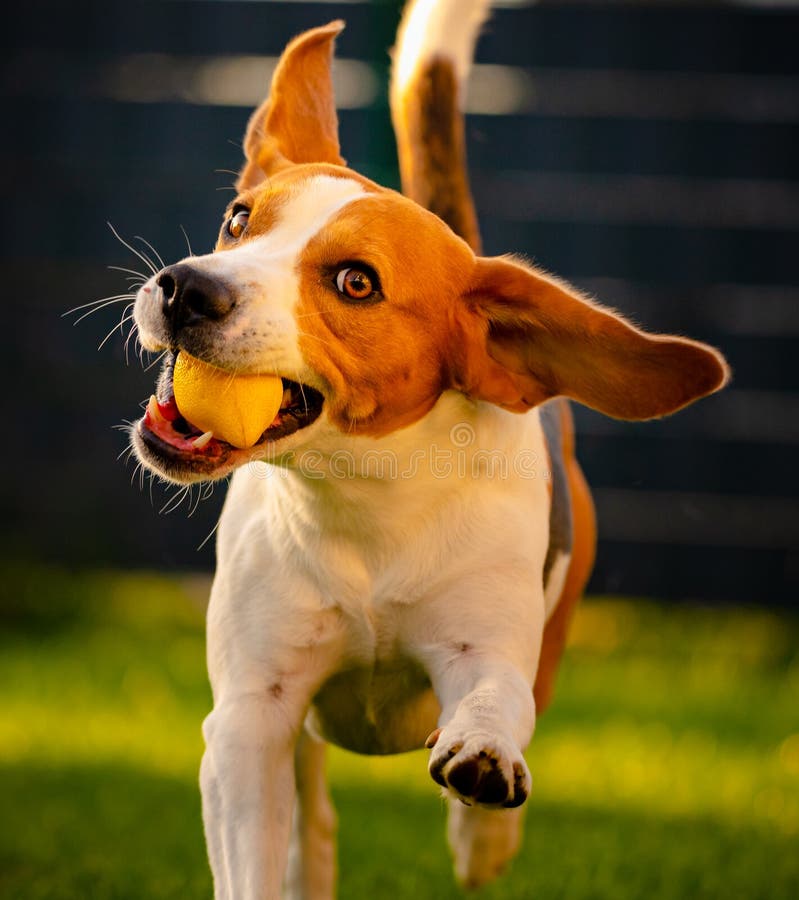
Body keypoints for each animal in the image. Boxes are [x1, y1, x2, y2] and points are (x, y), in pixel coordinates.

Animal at [128, 0, 728, 896]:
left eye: (355, 282)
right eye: (238, 219)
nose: (186, 288)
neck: (362, 506)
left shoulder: (487, 650)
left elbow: (493, 702)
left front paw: (484, 763)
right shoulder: (250, 715)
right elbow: (253, 836)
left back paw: (484, 839)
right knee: (309, 814)